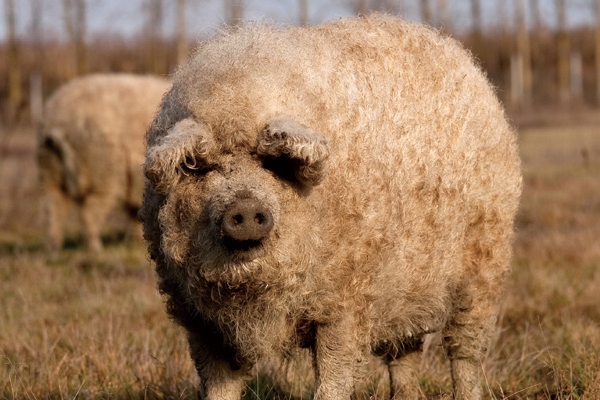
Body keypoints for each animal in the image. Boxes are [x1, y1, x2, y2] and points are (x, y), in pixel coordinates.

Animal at [38, 73, 169, 252]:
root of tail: (60, 124)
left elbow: (138, 216)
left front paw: (137, 242)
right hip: (102, 175)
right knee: (90, 213)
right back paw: (95, 248)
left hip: (50, 172)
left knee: (53, 208)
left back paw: (53, 248)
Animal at [141, 15, 520, 400]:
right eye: (204, 168)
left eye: (275, 165)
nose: (245, 207)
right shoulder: (199, 321)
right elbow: (219, 386)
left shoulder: (346, 305)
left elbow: (333, 379)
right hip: (404, 288)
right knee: (404, 354)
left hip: (483, 265)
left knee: (464, 352)